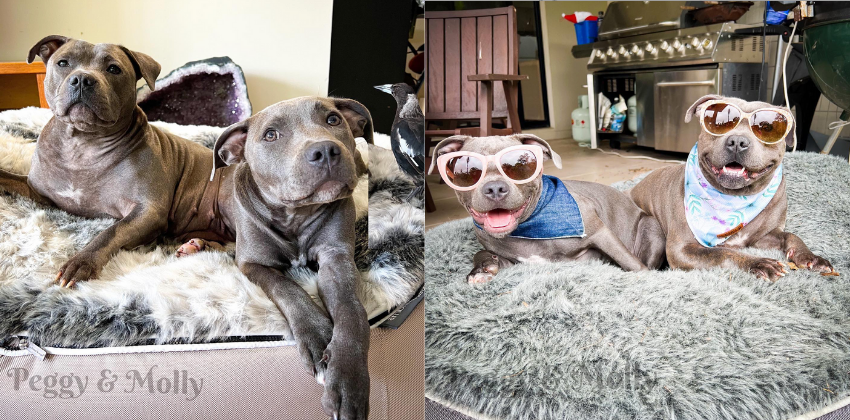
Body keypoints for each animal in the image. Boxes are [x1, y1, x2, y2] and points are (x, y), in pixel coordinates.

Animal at [430, 134, 664, 282]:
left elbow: (633, 264)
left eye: (521, 167)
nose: (495, 188)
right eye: (464, 171)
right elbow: (481, 253)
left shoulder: (600, 232)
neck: (530, 226)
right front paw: (482, 270)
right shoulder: (516, 263)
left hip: (650, 227)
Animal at [628, 93, 828, 280]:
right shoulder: (681, 249)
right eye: (718, 122)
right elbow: (723, 253)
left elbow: (790, 235)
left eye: (767, 128)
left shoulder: (764, 236)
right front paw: (758, 263)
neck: (735, 198)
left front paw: (810, 256)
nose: (738, 141)